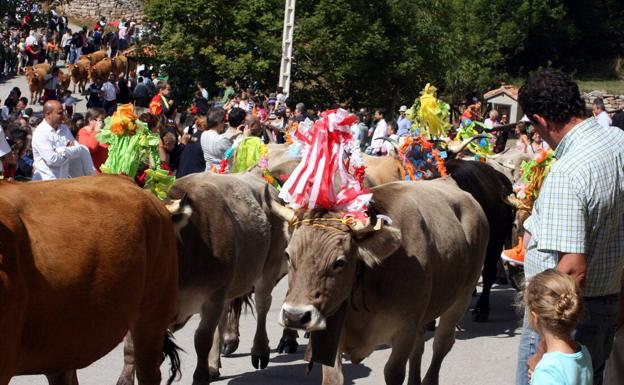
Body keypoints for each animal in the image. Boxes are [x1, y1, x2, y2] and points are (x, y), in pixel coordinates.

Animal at [117, 172, 288, 382]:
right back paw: (213, 365)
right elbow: (130, 347)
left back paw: (259, 350)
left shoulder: (212, 298)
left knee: (263, 305)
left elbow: (201, 340)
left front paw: (200, 376)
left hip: (268, 269)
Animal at [276, 177, 490, 384]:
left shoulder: (404, 331)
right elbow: (333, 378)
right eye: (287, 255)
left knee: (441, 344)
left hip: (460, 299)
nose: (294, 316)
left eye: (339, 262)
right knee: (419, 347)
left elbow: (393, 372)